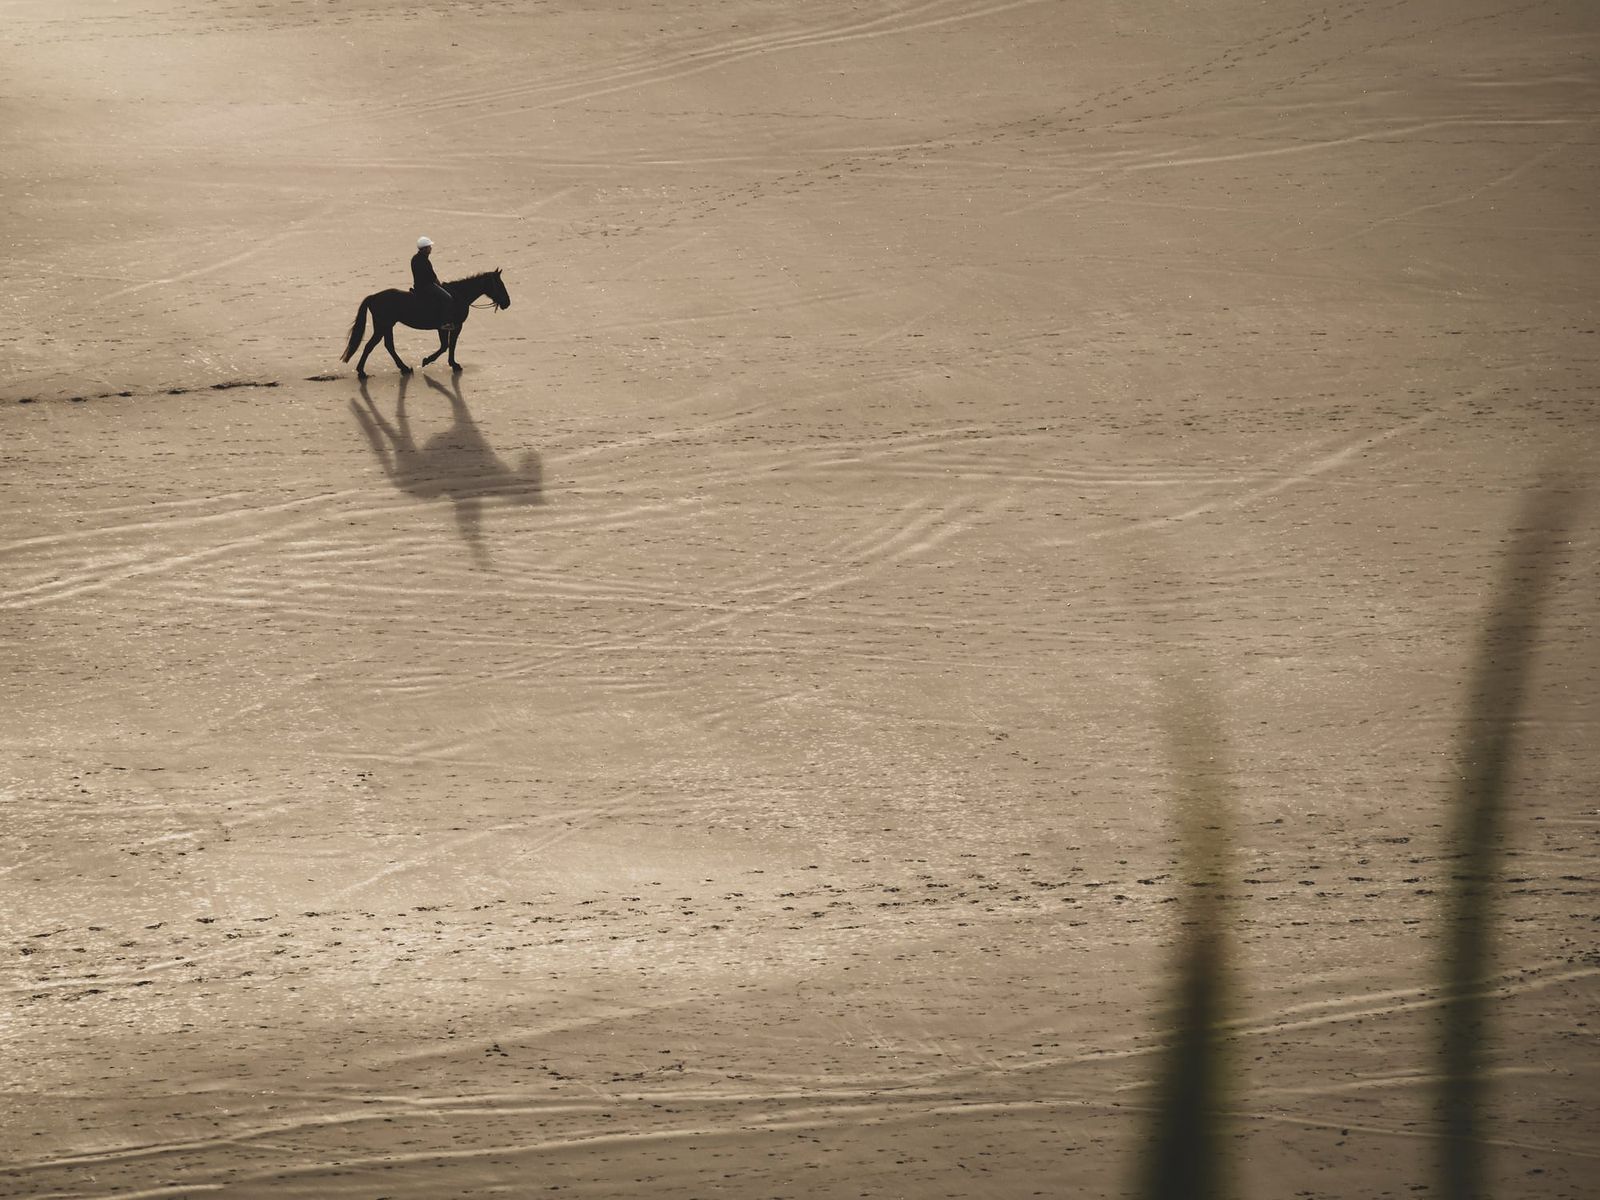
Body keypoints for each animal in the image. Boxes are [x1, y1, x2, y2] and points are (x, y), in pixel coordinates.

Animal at [341, 268, 510, 378]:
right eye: (500, 285)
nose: (507, 303)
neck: (458, 296)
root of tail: (374, 297)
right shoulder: (450, 326)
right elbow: (447, 346)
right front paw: (430, 361)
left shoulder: (448, 327)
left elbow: (449, 345)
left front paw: (451, 363)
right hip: (383, 326)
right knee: (371, 346)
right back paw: (362, 372)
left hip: (387, 326)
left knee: (387, 346)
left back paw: (403, 368)